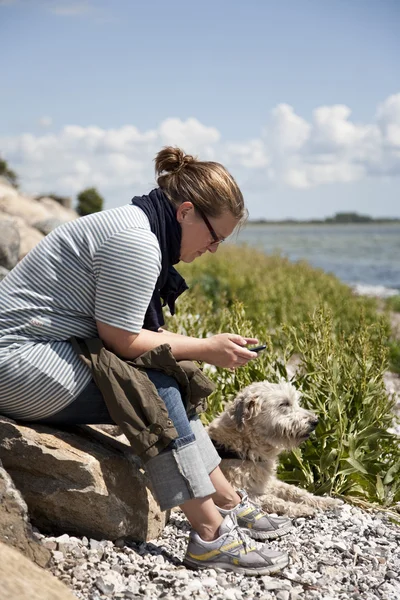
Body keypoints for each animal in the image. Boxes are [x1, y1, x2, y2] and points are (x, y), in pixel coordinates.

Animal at [208, 380, 342, 516]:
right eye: (284, 403)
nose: (315, 421)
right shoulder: (239, 490)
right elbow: (271, 499)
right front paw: (300, 508)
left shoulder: (267, 482)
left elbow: (294, 490)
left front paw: (324, 501)